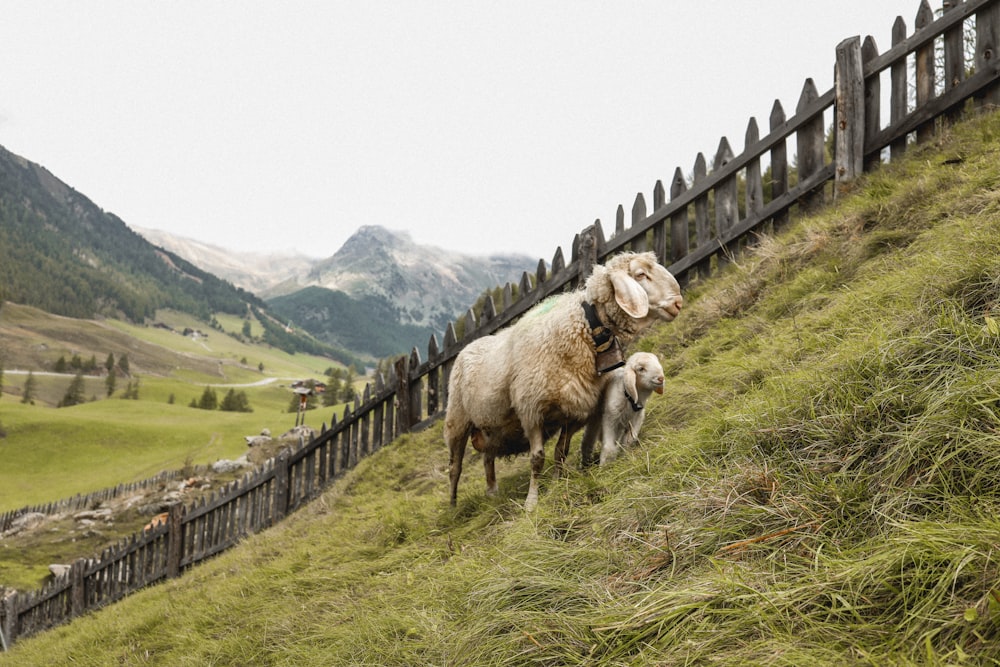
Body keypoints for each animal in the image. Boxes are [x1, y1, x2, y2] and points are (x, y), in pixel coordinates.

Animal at [450, 252, 684, 512]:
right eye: (641, 274)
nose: (678, 304)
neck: (582, 329)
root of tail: (470, 345)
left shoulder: (576, 409)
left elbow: (560, 452)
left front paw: (558, 483)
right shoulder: (531, 410)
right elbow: (537, 458)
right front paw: (532, 502)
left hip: (490, 426)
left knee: (487, 457)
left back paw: (492, 492)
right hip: (456, 421)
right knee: (455, 468)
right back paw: (452, 507)